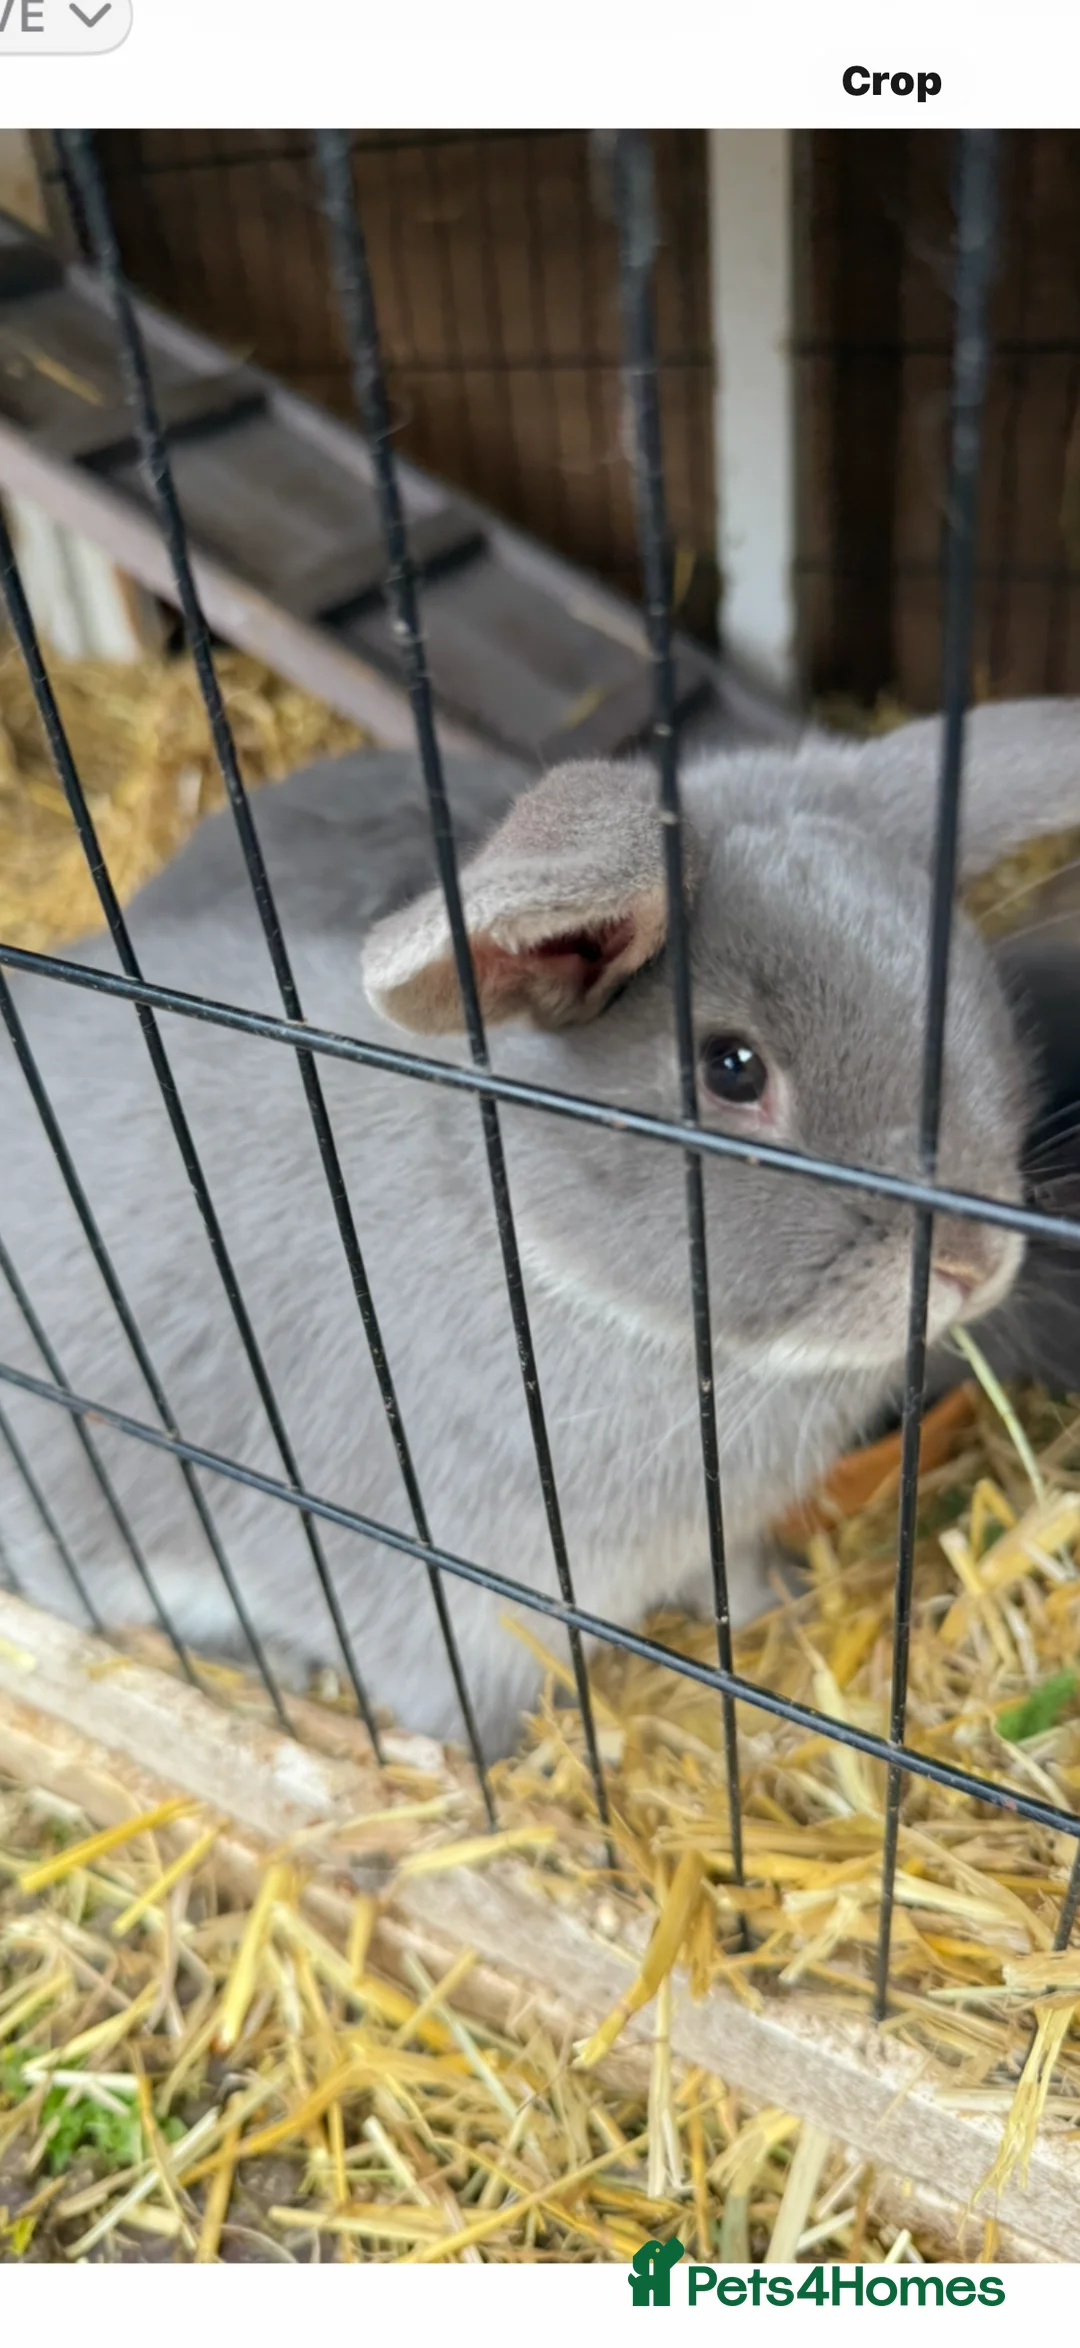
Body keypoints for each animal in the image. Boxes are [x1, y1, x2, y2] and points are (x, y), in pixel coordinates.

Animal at [3, 699, 1080, 1758]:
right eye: (732, 1067)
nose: (977, 1263)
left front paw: (784, 1602)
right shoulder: (439, 1598)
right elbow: (468, 1714)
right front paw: (549, 1754)